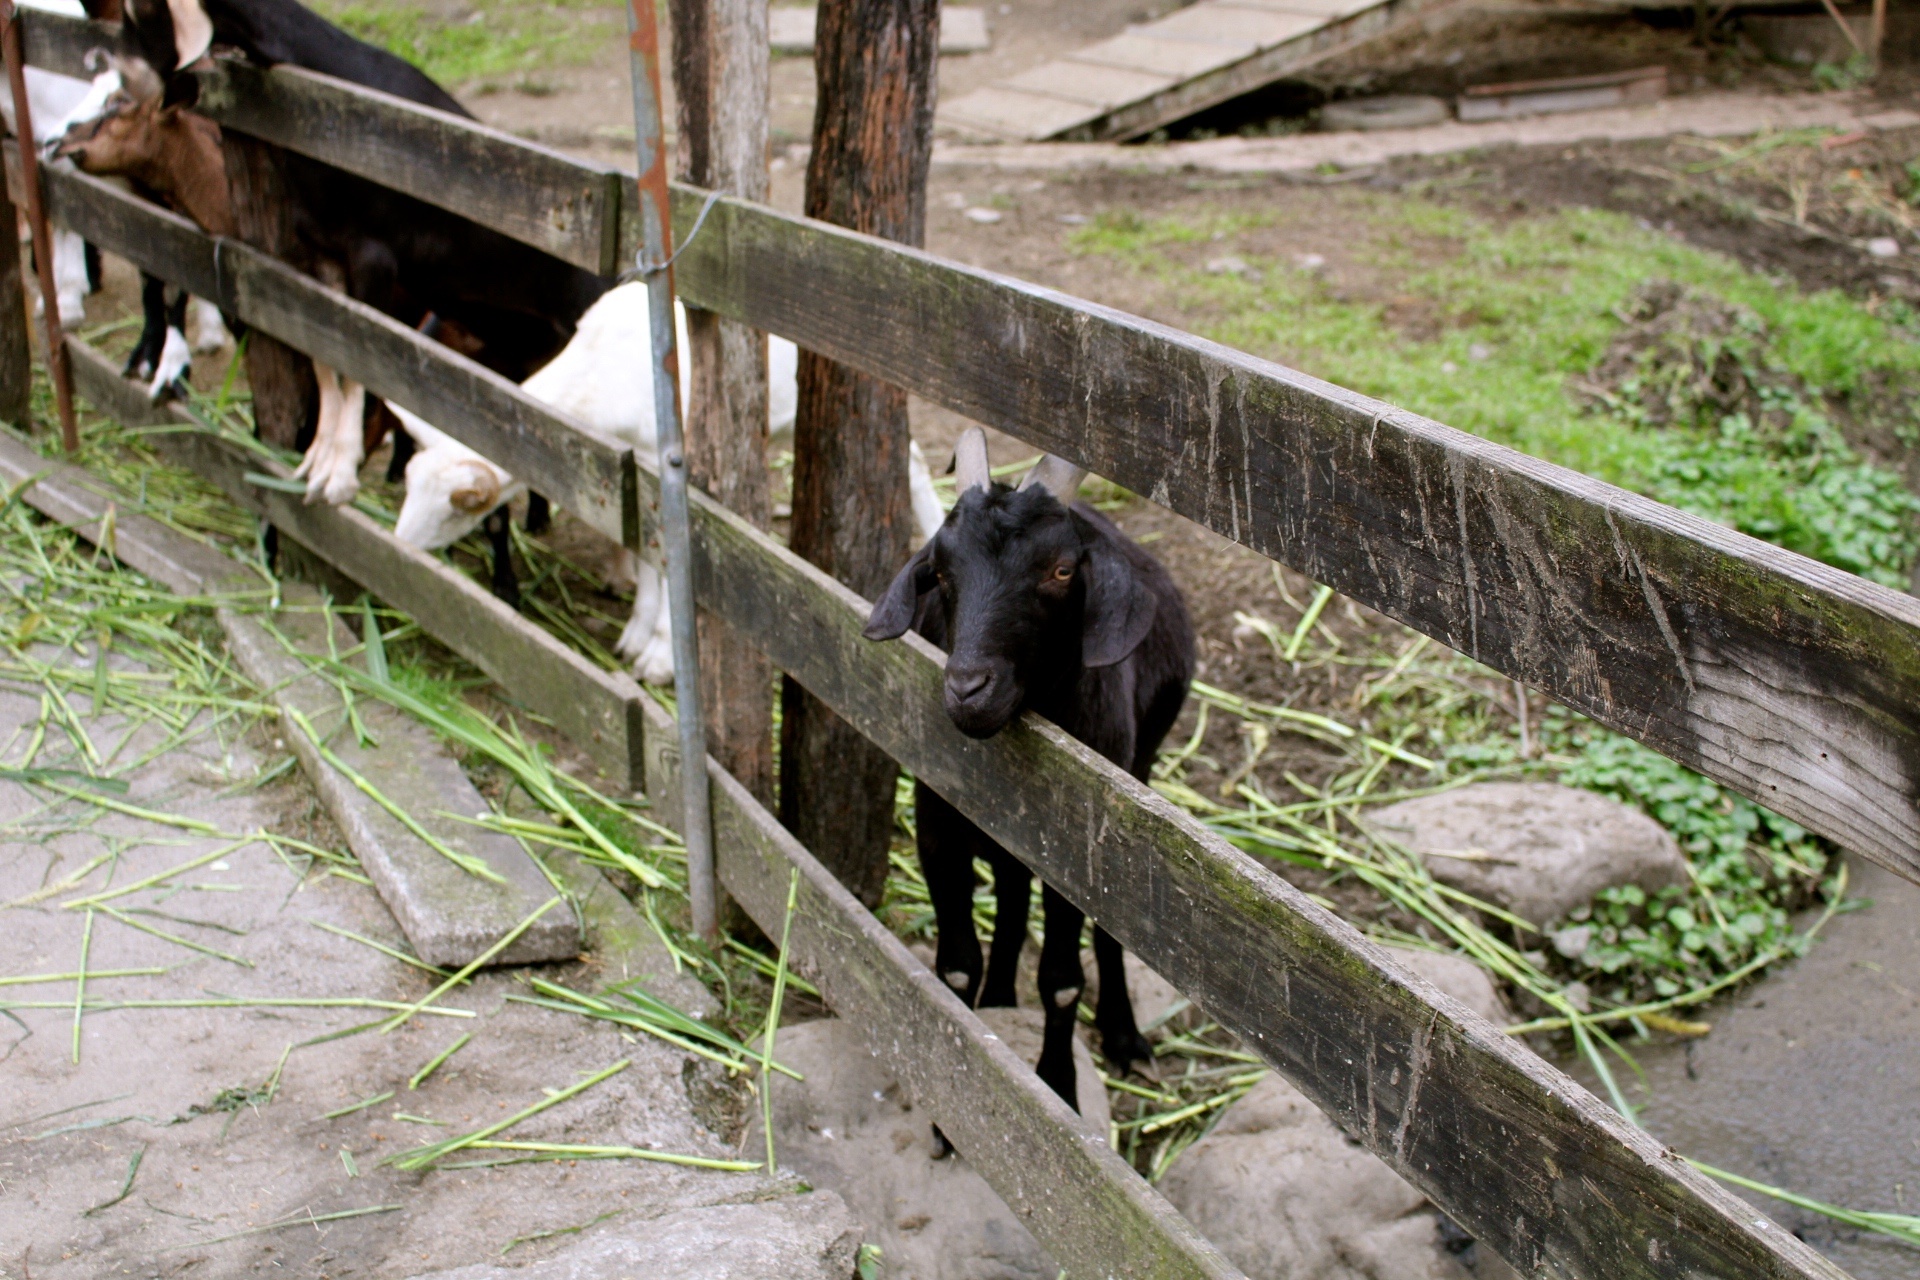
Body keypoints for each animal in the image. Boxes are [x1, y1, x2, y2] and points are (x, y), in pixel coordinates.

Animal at [395, 282, 944, 687]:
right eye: (409, 482)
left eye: (459, 506)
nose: (398, 546)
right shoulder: (631, 470)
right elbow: (644, 551)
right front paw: (635, 636)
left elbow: (668, 555)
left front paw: (660, 657)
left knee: (913, 460)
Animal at [867, 429, 1190, 1113]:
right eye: (940, 572)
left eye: (1062, 570)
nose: (969, 689)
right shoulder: (937, 824)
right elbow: (956, 964)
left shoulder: (1074, 852)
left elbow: (1063, 981)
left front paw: (1059, 1089)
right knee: (1013, 892)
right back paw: (999, 999)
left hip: (1138, 780)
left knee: (1111, 928)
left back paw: (1125, 1036)